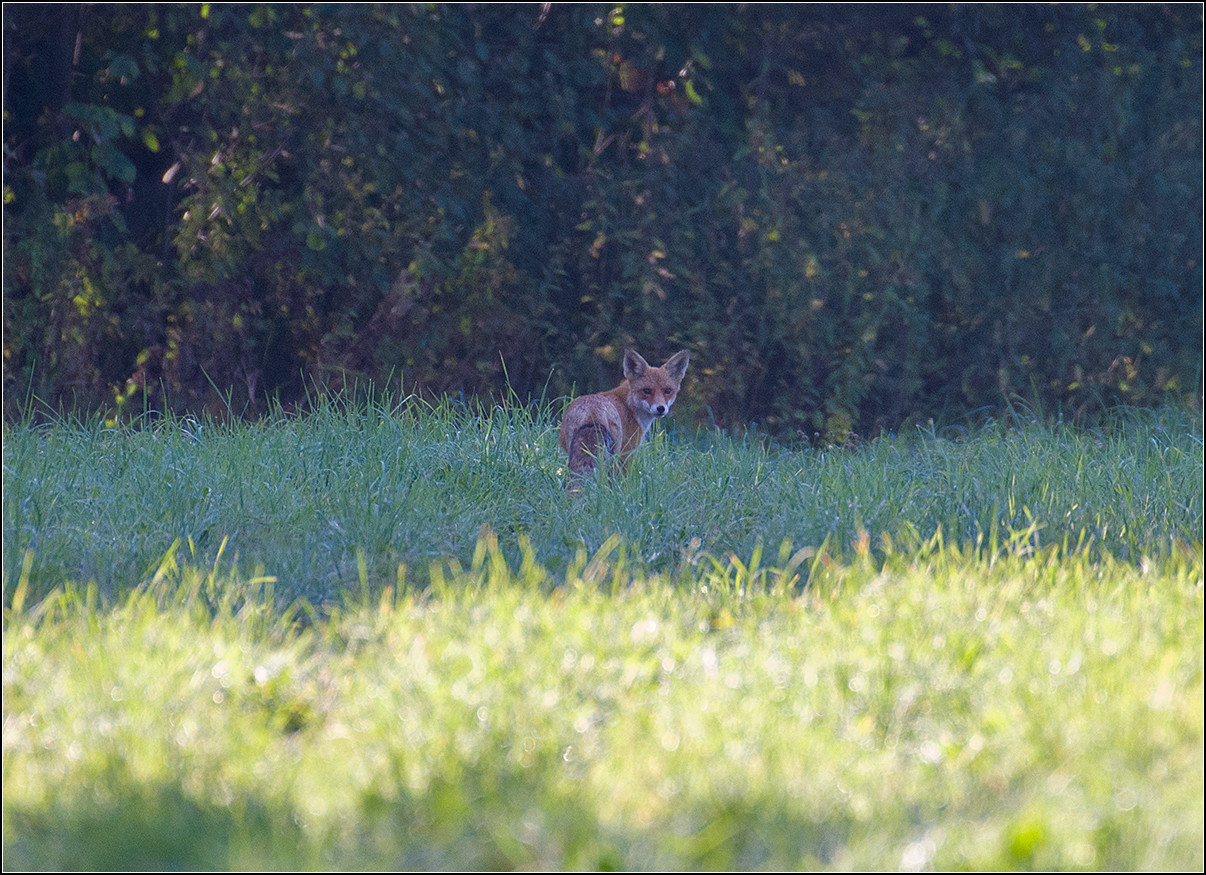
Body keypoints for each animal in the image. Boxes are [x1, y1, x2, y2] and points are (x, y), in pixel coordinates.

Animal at [554, 347, 689, 486]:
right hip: (613, 456)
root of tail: (591, 412)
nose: (661, 408)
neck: (628, 405)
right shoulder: (627, 453)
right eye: (646, 390)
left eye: (667, 391)